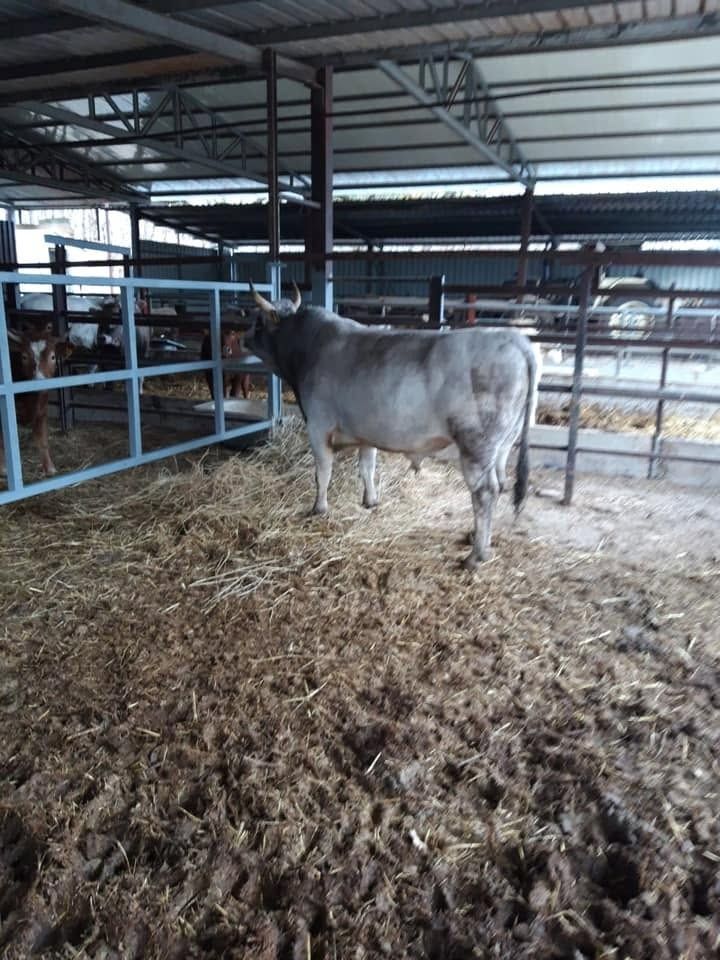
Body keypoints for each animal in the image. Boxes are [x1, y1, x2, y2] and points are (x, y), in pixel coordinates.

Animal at [1, 323, 73, 477]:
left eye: (53, 357)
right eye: (24, 357)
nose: (38, 381)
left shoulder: (41, 411)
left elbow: (42, 440)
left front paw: (49, 468)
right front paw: (3, 468)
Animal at [245, 285, 538, 569]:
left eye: (258, 322)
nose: (243, 338)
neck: (309, 348)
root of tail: (513, 339)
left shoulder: (318, 425)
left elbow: (323, 472)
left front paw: (319, 508)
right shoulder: (365, 431)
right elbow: (367, 467)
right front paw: (370, 500)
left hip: (476, 444)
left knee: (485, 492)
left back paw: (475, 556)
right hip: (503, 445)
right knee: (500, 484)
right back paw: (478, 540)